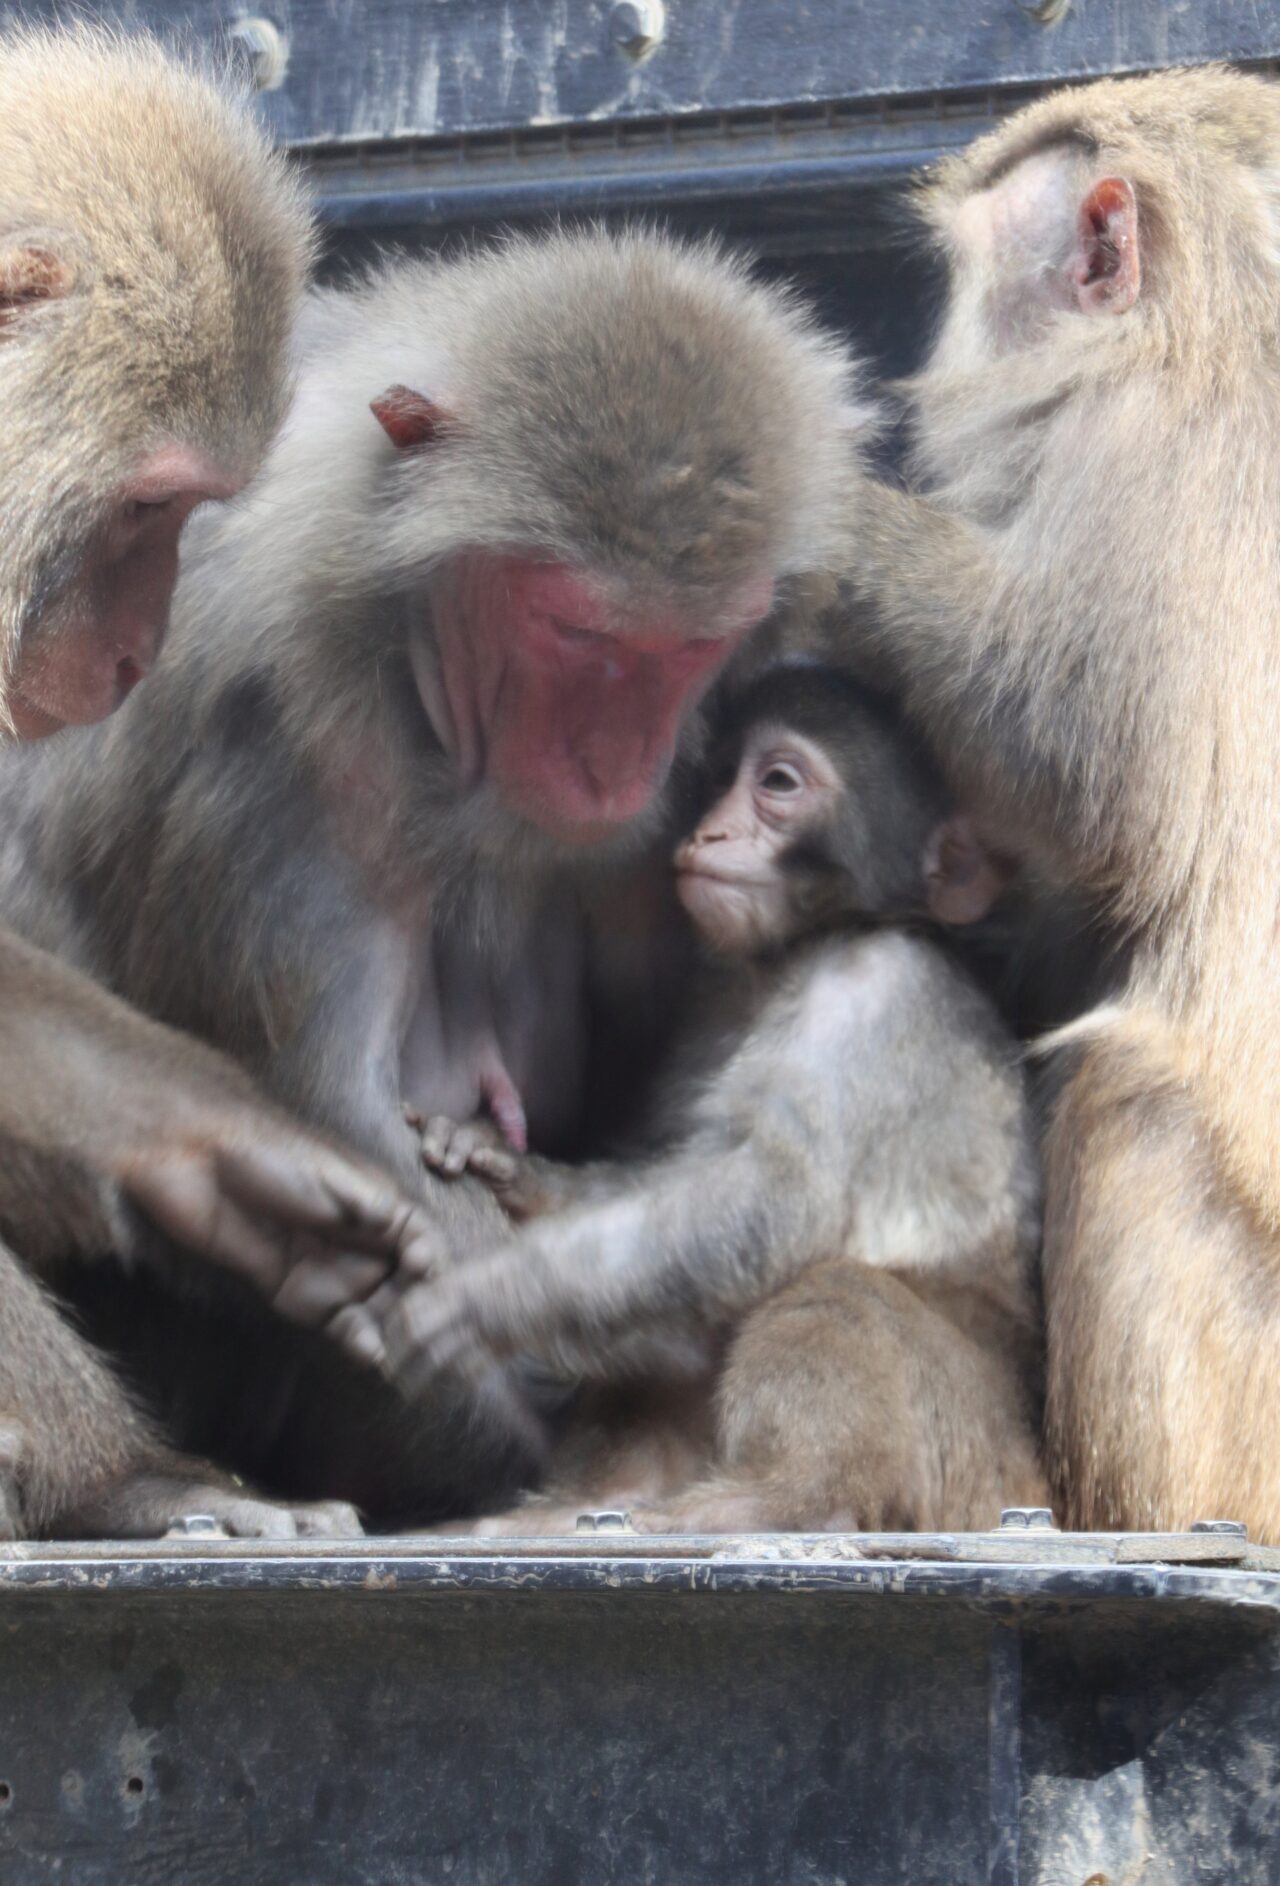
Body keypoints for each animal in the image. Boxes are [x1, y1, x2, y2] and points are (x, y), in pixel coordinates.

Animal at [395, 663, 1048, 1531]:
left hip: (980, 1463)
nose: (710, 833)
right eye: (717, 781)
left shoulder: (873, 992)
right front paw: (512, 1167)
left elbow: (769, 1197)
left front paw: (501, 1296)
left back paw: (776, 1501)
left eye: (777, 783)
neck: (807, 946)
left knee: (842, 1292)